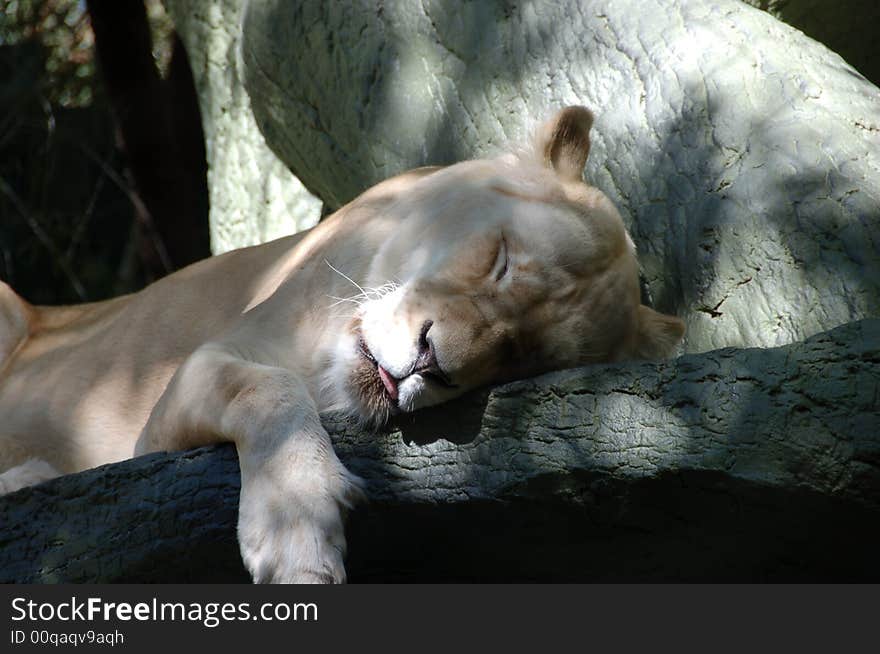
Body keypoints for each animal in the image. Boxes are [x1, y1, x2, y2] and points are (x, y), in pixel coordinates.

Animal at [0, 106, 688, 584]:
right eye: (500, 261)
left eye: (525, 357)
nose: (433, 363)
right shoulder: (182, 388)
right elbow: (268, 389)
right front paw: (296, 533)